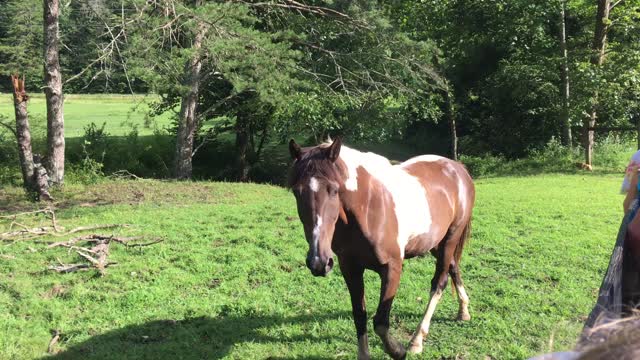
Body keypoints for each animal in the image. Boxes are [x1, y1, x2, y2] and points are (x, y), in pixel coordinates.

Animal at [288, 137, 472, 358]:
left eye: (334, 189)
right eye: (297, 192)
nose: (319, 262)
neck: (368, 209)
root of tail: (458, 168)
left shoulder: (392, 268)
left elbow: (381, 322)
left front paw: (398, 351)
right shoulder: (350, 268)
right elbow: (360, 315)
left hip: (450, 239)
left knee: (439, 283)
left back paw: (417, 340)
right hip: (435, 242)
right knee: (453, 266)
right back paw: (463, 311)